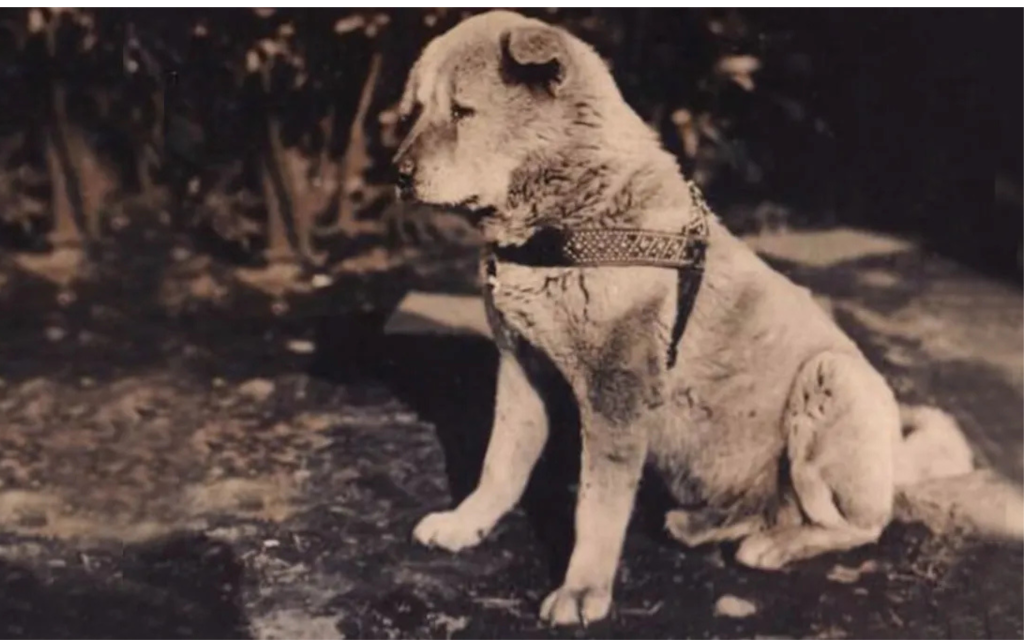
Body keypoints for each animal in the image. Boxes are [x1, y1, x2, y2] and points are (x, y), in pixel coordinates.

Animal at [389, 9, 999, 626]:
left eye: (462, 111)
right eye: (415, 112)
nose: (397, 173)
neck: (571, 216)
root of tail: (897, 455)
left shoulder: (617, 394)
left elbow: (596, 507)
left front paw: (583, 591)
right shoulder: (521, 370)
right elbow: (500, 463)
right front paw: (467, 523)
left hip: (833, 378)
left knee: (857, 524)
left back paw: (774, 544)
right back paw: (702, 524)